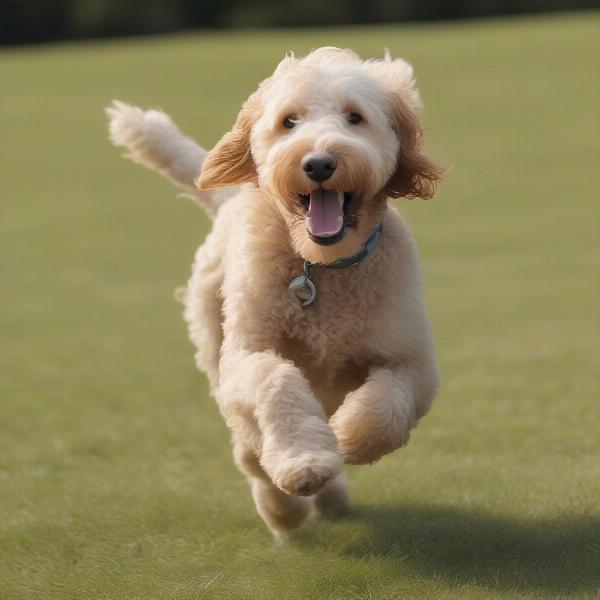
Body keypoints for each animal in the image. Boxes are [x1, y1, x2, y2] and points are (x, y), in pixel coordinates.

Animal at [108, 47, 442, 536]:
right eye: (289, 121)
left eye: (354, 117)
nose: (318, 163)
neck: (319, 265)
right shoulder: (246, 355)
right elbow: (276, 382)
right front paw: (305, 463)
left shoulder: (411, 360)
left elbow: (388, 404)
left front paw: (351, 437)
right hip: (215, 349)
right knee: (250, 450)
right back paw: (282, 508)